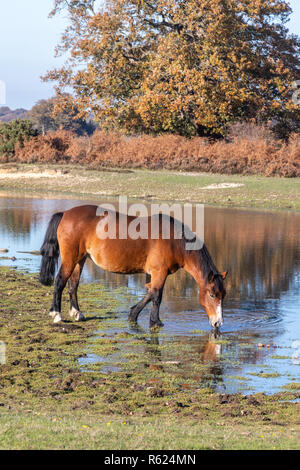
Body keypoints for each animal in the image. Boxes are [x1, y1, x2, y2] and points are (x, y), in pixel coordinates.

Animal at [39, 206, 227, 330]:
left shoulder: (153, 274)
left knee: (73, 285)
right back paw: (57, 314)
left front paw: (133, 314)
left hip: (80, 260)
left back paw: (77, 313)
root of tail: (66, 213)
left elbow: (150, 294)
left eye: (222, 295)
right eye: (212, 294)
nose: (218, 323)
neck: (175, 241)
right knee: (60, 282)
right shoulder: (159, 273)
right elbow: (157, 296)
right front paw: (155, 321)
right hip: (71, 260)